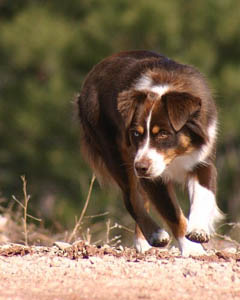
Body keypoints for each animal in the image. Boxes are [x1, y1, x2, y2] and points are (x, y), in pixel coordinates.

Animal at [78, 50, 224, 256]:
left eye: (163, 133)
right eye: (136, 133)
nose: (141, 167)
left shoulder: (201, 158)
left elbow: (203, 195)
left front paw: (198, 231)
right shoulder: (150, 173)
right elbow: (172, 213)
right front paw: (192, 249)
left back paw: (144, 242)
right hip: (113, 150)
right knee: (131, 197)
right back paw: (155, 235)